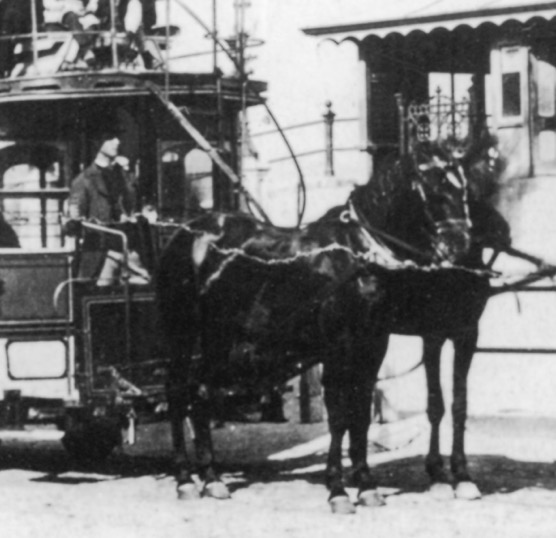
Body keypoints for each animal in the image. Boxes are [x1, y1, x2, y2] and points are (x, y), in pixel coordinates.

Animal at [155, 146, 478, 510]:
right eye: (433, 187)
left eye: (465, 187)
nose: (462, 247)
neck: (358, 253)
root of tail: (187, 231)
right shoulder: (338, 345)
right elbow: (338, 414)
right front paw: (337, 489)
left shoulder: (373, 343)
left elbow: (360, 412)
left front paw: (365, 485)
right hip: (182, 332)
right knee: (177, 391)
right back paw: (185, 479)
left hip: (218, 336)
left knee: (201, 391)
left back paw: (211, 478)